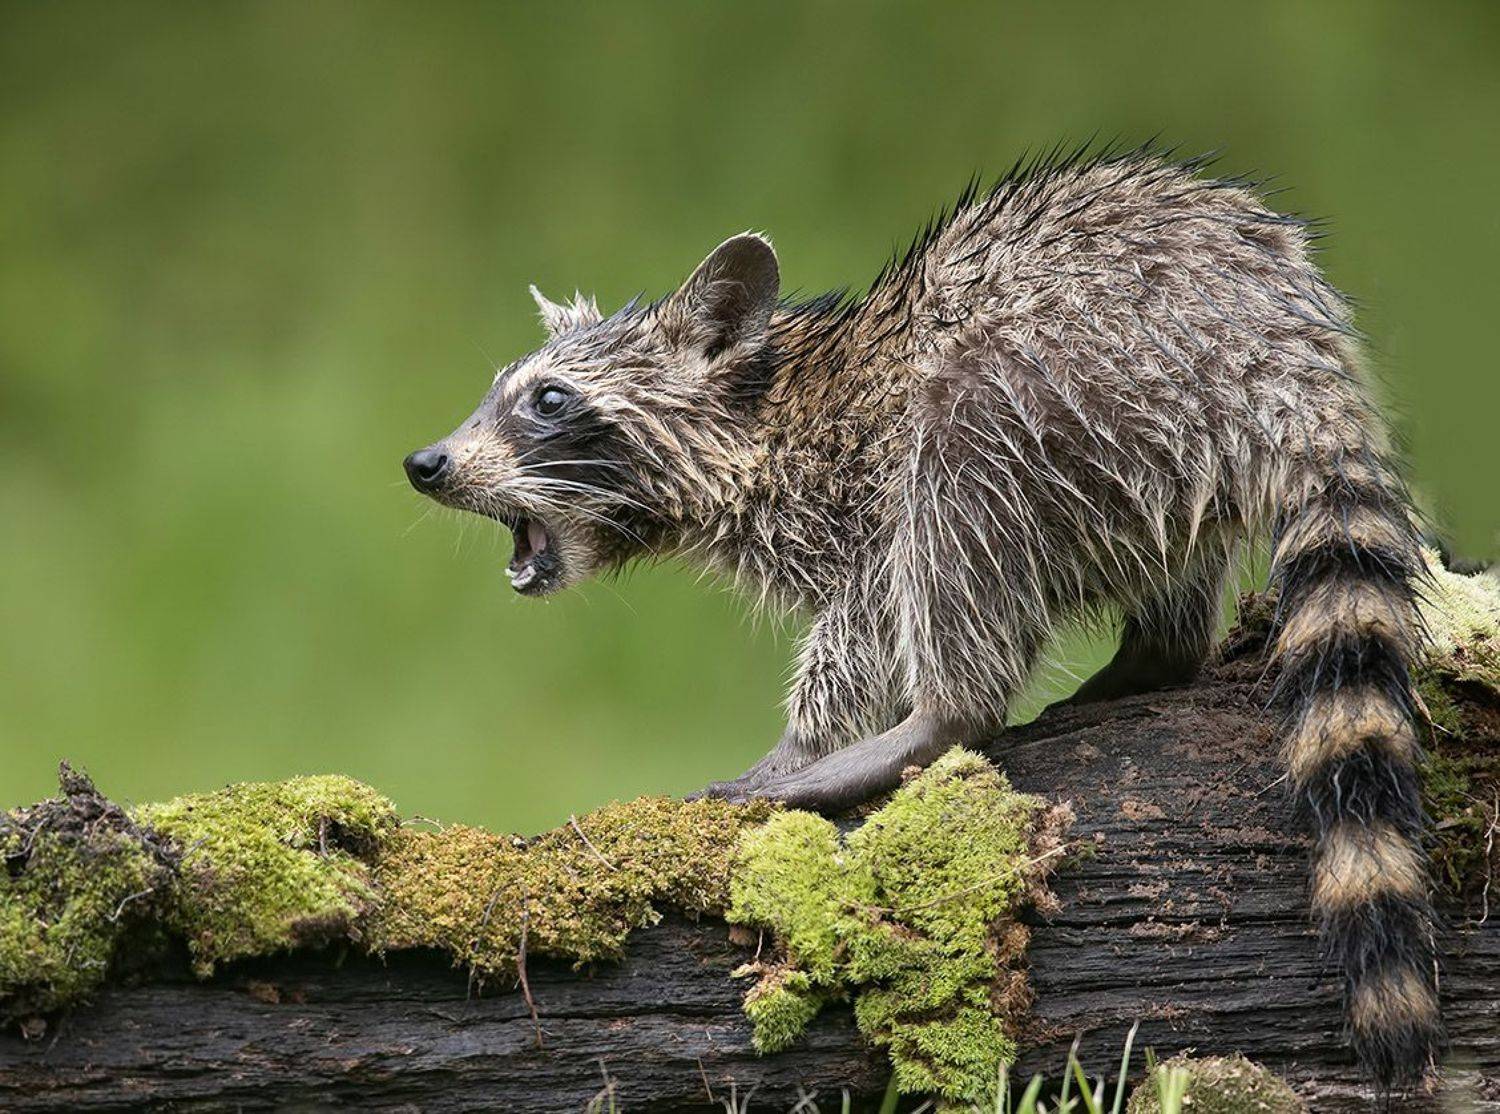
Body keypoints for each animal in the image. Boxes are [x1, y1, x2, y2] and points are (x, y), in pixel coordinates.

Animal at [404, 148, 1437, 1085]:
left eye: (548, 400)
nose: (424, 463)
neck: (764, 413)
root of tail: (1283, 363)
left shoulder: (856, 495)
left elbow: (861, 621)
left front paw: (806, 739)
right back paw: (1156, 653)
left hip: (1062, 384)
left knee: (956, 486)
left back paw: (936, 718)